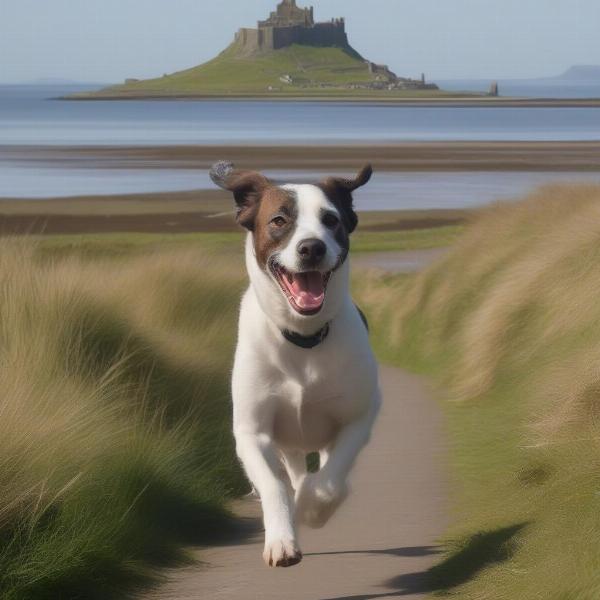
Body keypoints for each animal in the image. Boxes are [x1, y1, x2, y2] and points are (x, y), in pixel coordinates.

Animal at [211, 162, 380, 568]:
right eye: (278, 220)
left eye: (331, 220)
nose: (312, 247)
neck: (303, 337)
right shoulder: (252, 432)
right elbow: (274, 485)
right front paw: (281, 540)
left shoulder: (359, 417)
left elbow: (331, 482)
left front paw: (310, 508)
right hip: (287, 443)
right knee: (292, 469)